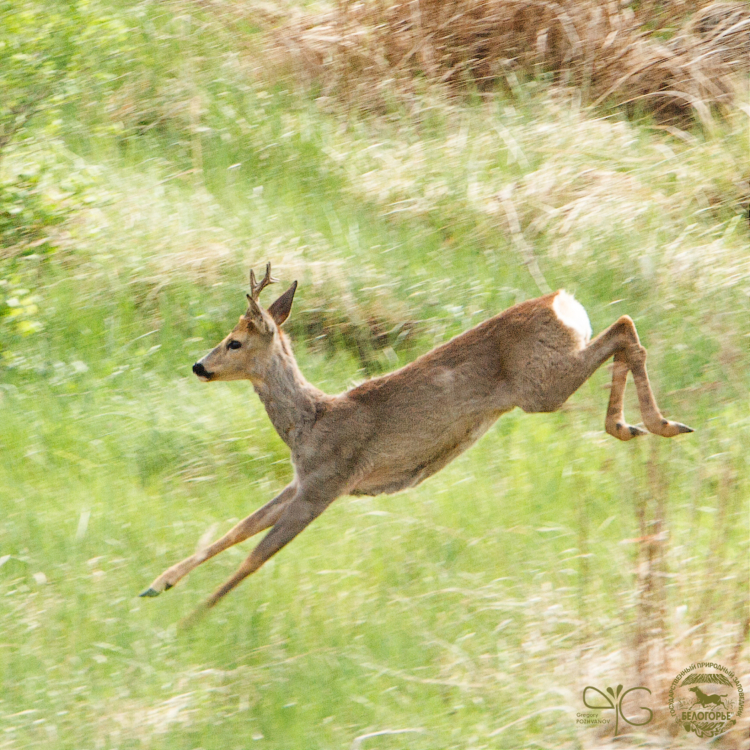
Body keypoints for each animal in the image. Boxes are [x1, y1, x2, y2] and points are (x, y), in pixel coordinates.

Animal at [140, 264, 692, 612]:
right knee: (624, 332)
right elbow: (236, 530)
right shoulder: (303, 480)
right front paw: (157, 584)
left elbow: (253, 558)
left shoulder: (327, 484)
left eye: (234, 341)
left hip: (542, 387)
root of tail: (563, 302)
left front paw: (191, 620)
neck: (310, 421)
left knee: (624, 328)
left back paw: (653, 423)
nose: (200, 366)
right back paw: (640, 425)